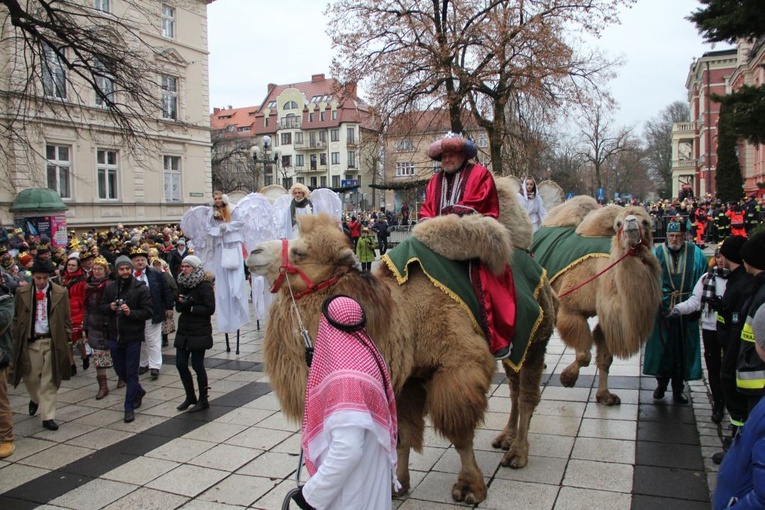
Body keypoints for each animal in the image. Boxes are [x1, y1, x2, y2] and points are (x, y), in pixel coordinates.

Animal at [251, 184, 556, 506]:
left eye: (300, 252)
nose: (254, 253)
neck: (404, 316)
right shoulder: (404, 378)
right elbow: (403, 434)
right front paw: (398, 484)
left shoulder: (458, 367)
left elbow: (460, 433)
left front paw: (470, 487)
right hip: (517, 348)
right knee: (514, 388)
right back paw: (506, 437)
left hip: (537, 339)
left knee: (527, 395)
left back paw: (518, 453)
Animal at [532, 196, 664, 406]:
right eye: (618, 223)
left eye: (645, 222)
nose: (630, 224)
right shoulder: (571, 308)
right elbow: (584, 355)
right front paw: (567, 379)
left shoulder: (608, 318)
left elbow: (605, 358)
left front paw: (605, 396)